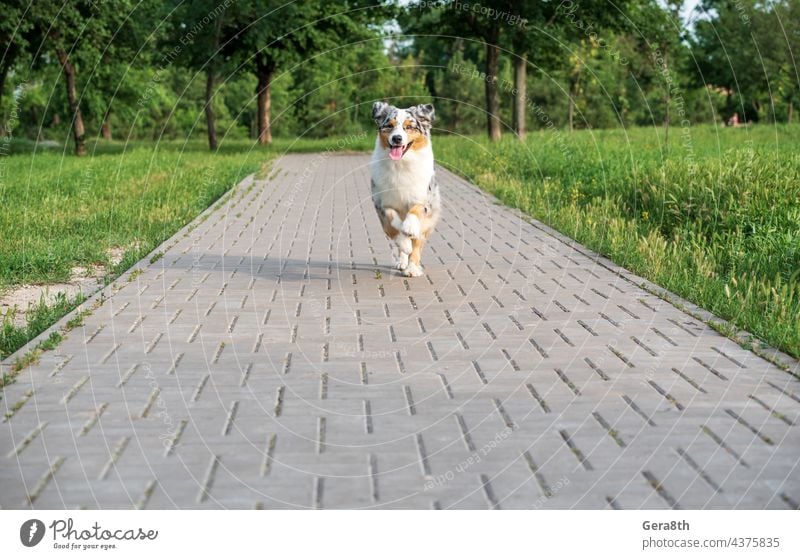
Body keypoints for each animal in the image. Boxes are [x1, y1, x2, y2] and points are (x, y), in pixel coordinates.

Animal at [368, 102, 440, 278]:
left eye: (409, 127)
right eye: (389, 125)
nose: (397, 138)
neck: (401, 164)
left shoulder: (423, 198)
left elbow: (415, 211)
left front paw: (409, 227)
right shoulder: (381, 203)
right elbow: (392, 224)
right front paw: (404, 243)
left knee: (418, 244)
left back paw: (412, 268)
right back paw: (402, 261)